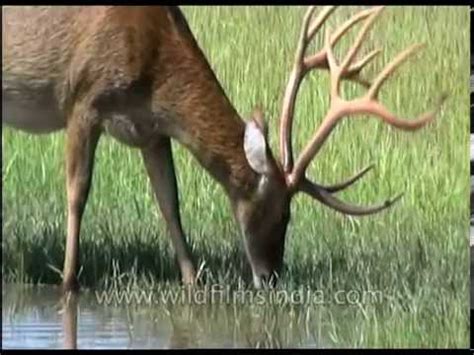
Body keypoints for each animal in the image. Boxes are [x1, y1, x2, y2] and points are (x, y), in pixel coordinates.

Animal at [1, 6, 444, 292]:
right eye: (284, 214)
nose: (271, 277)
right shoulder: (84, 99)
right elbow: (78, 192)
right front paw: (68, 282)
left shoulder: (151, 130)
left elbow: (169, 200)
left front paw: (192, 282)